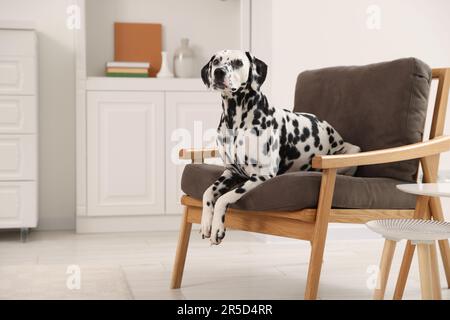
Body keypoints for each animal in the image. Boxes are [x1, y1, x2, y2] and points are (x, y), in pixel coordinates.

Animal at [200, 50, 362, 245]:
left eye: (238, 62)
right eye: (216, 61)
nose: (219, 72)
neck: (236, 122)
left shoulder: (262, 175)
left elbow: (224, 198)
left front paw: (217, 228)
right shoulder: (231, 172)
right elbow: (207, 193)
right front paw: (206, 223)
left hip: (353, 150)